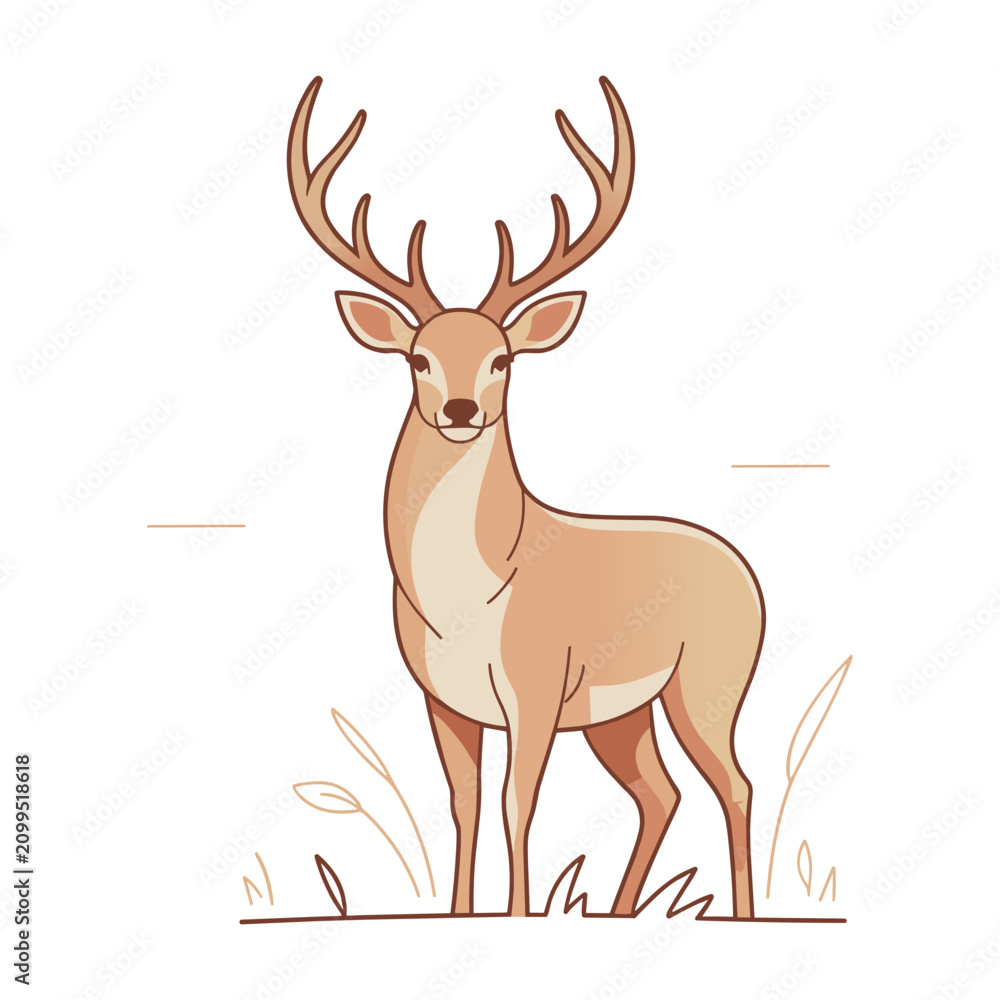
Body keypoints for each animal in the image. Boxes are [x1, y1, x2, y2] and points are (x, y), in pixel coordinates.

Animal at [287, 76, 764, 919]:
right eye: (417, 357)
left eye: (503, 358)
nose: (459, 410)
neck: (467, 599)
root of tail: (746, 570)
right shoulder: (442, 700)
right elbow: (466, 803)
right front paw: (459, 913)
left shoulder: (537, 689)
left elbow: (520, 802)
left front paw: (518, 914)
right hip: (623, 713)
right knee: (661, 792)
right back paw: (617, 910)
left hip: (710, 681)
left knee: (733, 785)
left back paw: (740, 912)